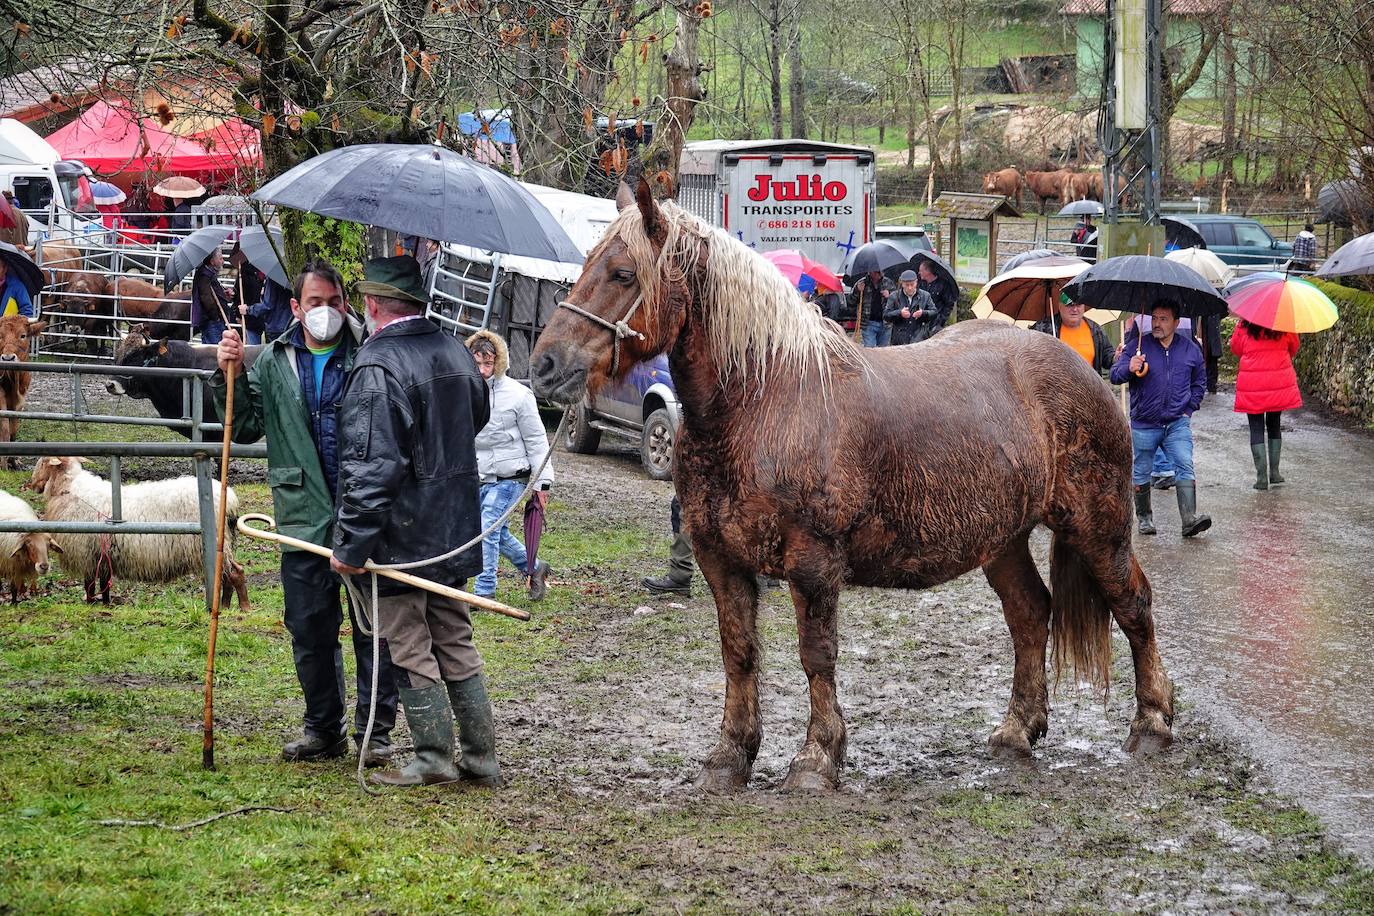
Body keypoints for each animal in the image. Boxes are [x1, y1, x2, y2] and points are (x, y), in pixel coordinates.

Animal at [0, 317, 46, 472]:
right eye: (0, 335)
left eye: (23, 335)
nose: (7, 358)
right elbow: (5, 428)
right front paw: (3, 464)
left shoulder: (20, 401)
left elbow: (13, 428)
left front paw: (14, 461)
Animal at [26, 455, 251, 609]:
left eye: (43, 462)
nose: (31, 484)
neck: (69, 489)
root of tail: (231, 500)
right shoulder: (102, 553)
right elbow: (104, 584)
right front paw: (106, 605)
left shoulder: (86, 552)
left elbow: (89, 585)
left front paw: (90, 604)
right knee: (232, 573)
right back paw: (229, 607)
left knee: (231, 573)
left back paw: (240, 607)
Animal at [530, 181, 1176, 796]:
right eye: (589, 263)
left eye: (623, 273)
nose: (544, 365)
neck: (764, 402)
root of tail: (1080, 368)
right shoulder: (720, 560)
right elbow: (738, 653)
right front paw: (730, 756)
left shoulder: (813, 563)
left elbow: (817, 656)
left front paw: (817, 759)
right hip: (1003, 539)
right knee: (1030, 613)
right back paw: (1018, 730)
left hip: (1098, 526)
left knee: (1133, 607)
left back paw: (1152, 723)